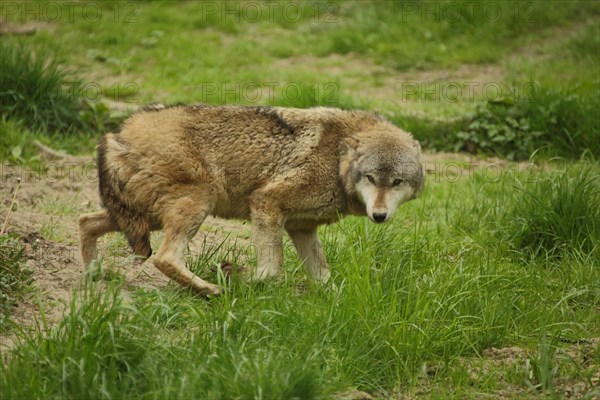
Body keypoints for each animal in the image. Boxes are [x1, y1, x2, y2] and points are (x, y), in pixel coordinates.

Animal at [79, 104, 424, 296]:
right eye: (371, 179)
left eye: (396, 182)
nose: (379, 215)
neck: (337, 157)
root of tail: (118, 133)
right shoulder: (266, 201)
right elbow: (272, 270)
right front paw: (244, 280)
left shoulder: (302, 228)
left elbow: (324, 277)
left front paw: (337, 305)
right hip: (196, 203)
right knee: (164, 258)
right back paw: (212, 290)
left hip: (143, 218)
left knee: (85, 221)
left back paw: (95, 274)